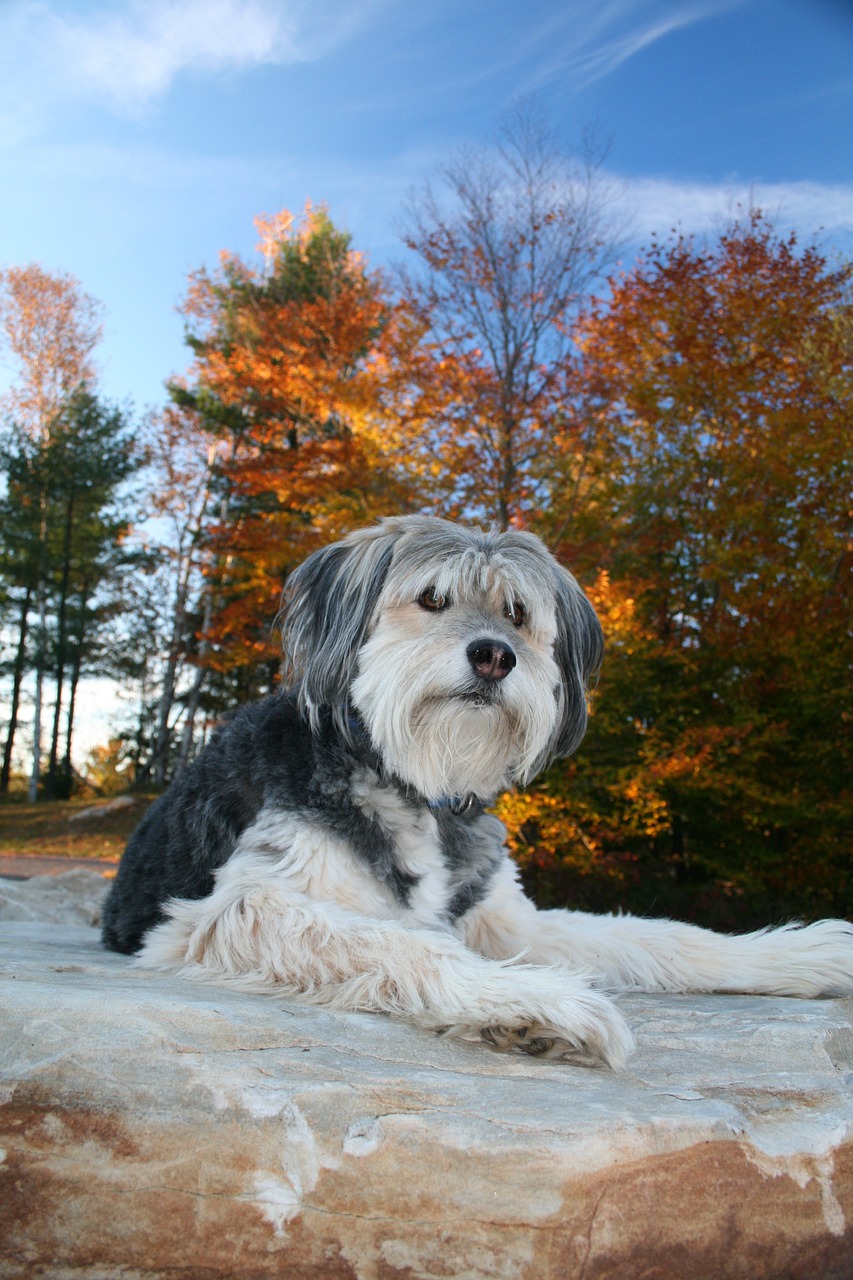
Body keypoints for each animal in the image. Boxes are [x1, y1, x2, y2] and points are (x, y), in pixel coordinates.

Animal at [101, 514, 850, 1064]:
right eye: (432, 598)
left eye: (518, 614)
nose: (494, 656)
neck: (413, 784)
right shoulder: (231, 911)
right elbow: (408, 944)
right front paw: (535, 1003)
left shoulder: (505, 919)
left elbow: (661, 937)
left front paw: (799, 953)